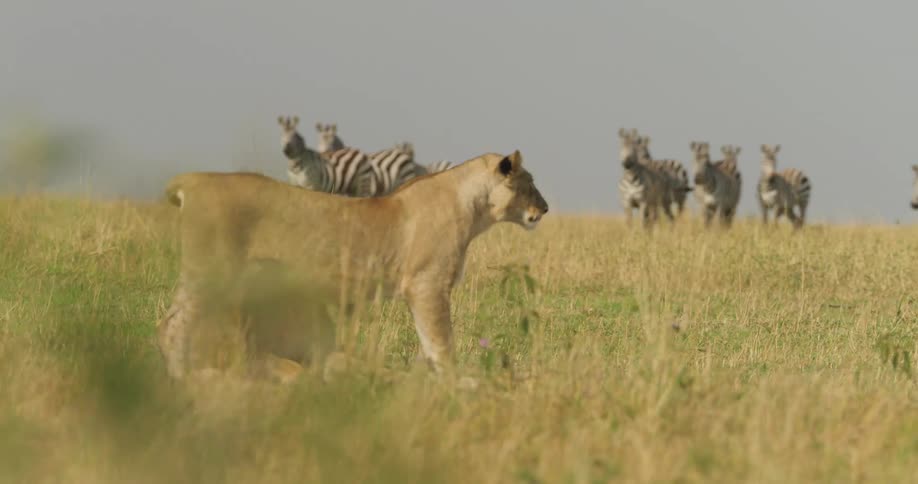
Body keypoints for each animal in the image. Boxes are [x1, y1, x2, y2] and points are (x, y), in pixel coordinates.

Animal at [157, 150, 549, 382]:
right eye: (529, 184)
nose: (544, 209)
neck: (475, 208)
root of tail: (192, 178)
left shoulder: (421, 288)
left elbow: (429, 343)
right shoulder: (427, 284)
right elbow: (440, 341)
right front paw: (453, 382)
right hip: (210, 273)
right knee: (174, 326)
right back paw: (181, 378)